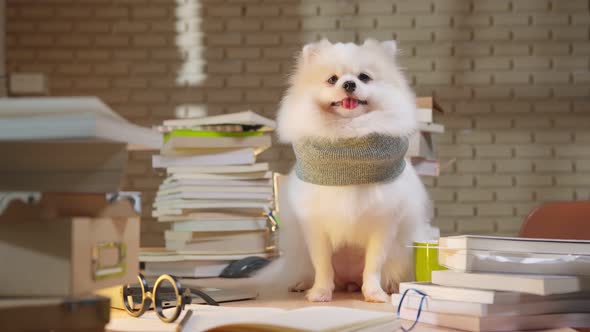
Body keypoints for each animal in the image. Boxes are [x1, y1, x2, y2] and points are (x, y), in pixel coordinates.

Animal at [276, 39, 438, 304]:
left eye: (364, 77)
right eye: (332, 79)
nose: (349, 84)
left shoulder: (383, 225)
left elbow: (373, 265)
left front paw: (374, 293)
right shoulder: (315, 227)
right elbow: (323, 265)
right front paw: (321, 292)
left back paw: (389, 285)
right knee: (307, 268)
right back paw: (303, 284)